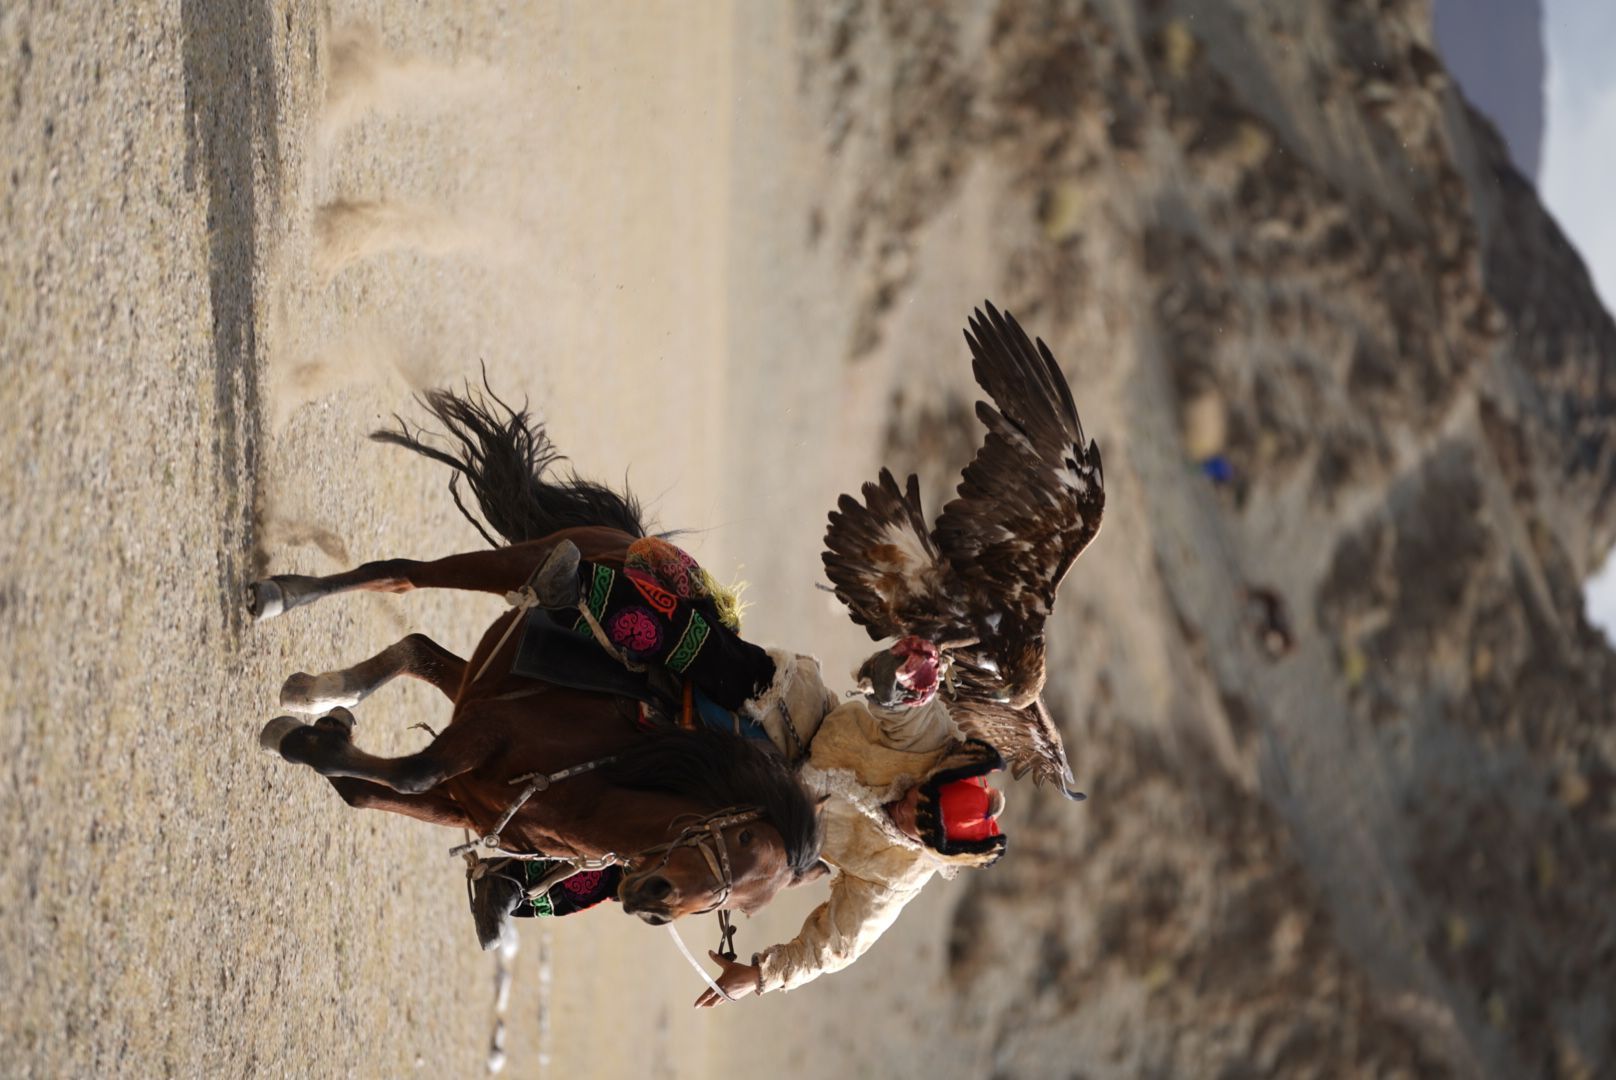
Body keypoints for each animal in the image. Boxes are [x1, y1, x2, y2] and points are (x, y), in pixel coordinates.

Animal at [252, 387, 824, 925]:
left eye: (743, 906)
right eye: (746, 839)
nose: (658, 903)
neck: (585, 795)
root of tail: (627, 537)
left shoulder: (463, 797)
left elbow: (365, 791)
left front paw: (309, 730)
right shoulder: (486, 731)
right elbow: (413, 770)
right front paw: (304, 739)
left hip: (484, 673)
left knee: (417, 648)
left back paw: (314, 690)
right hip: (513, 564)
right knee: (400, 574)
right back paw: (280, 596)